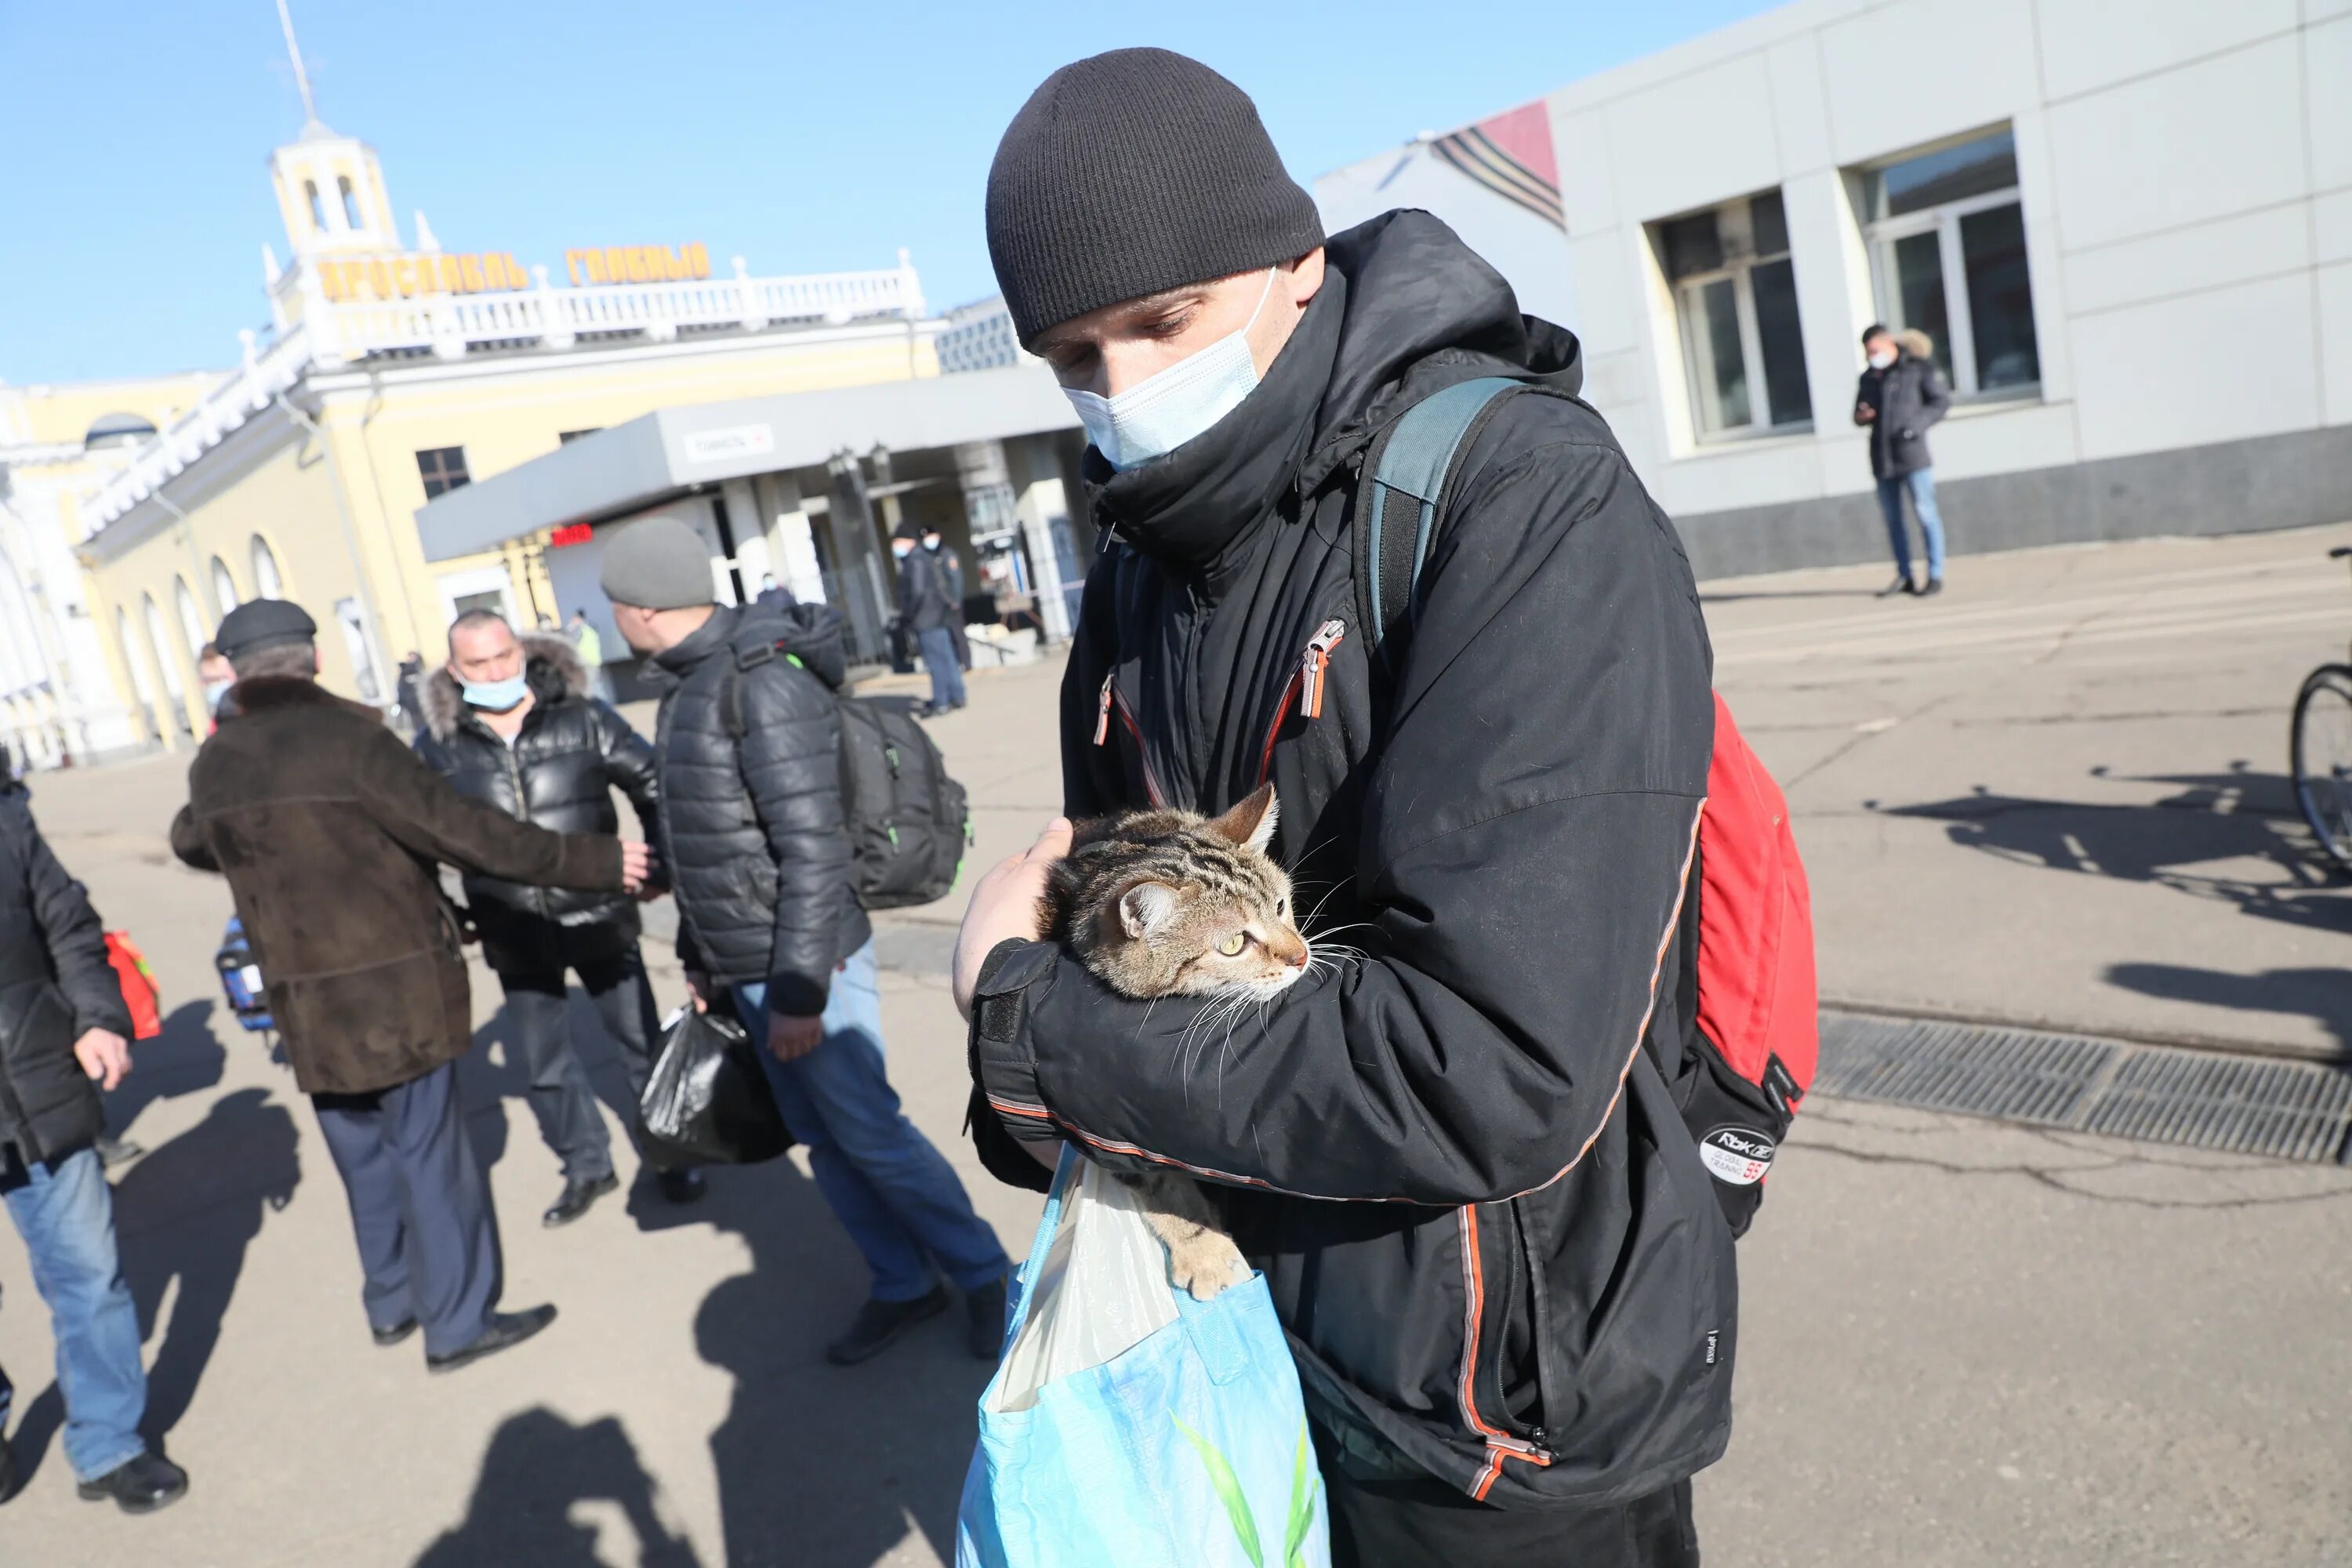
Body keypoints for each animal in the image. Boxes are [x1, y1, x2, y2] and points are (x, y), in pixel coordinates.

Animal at [1040, 780, 1317, 1307]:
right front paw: (1203, 1250)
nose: (1301, 956)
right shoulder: (1100, 1128)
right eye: (1233, 944)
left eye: (1280, 906)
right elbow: (1160, 1182)